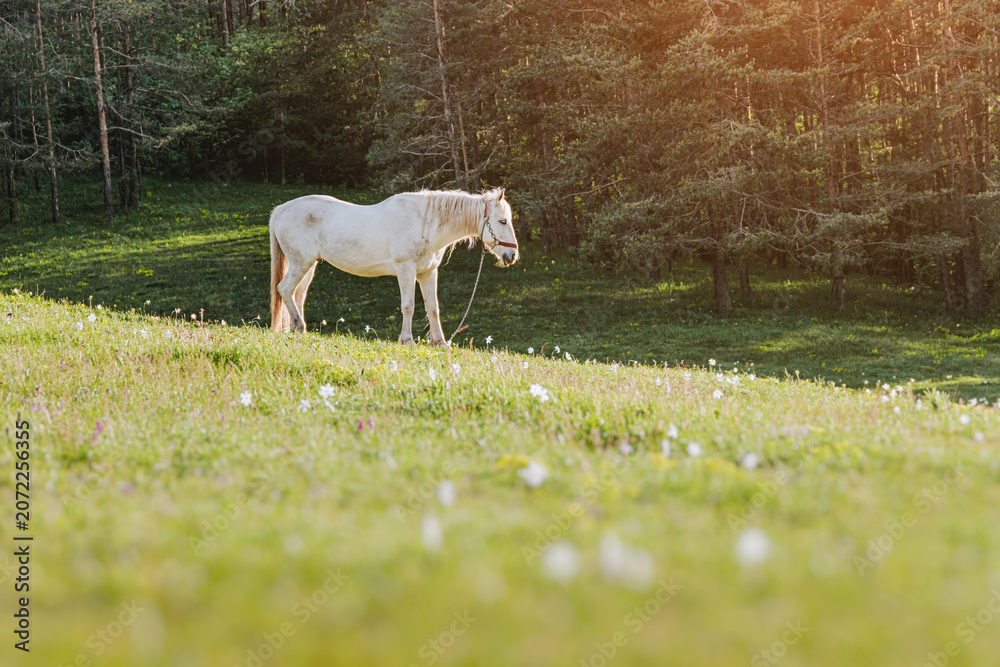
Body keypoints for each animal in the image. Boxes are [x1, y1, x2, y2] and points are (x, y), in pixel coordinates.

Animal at [268, 187, 519, 345]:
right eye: (502, 221)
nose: (512, 255)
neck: (425, 223)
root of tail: (280, 209)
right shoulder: (405, 269)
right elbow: (408, 306)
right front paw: (406, 340)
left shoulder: (428, 273)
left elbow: (433, 307)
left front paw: (440, 342)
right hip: (301, 263)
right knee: (284, 289)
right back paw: (299, 325)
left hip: (308, 265)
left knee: (297, 294)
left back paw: (298, 328)